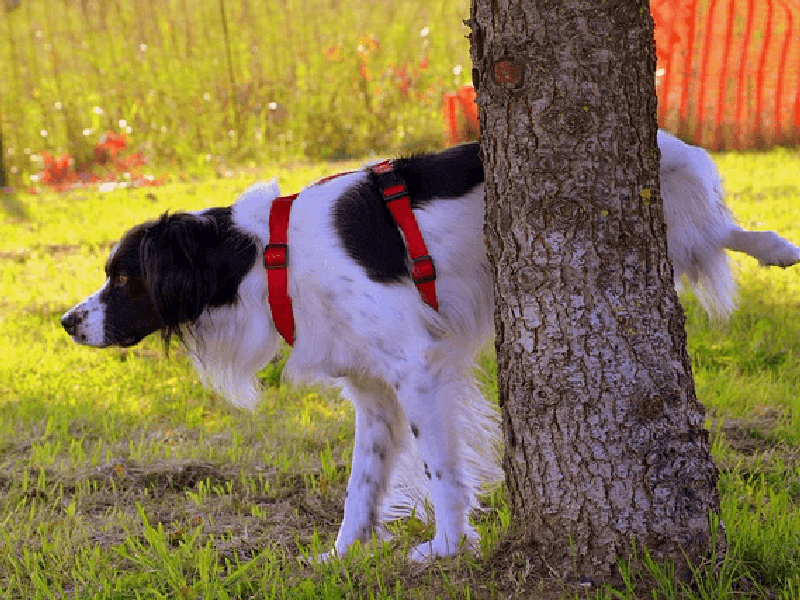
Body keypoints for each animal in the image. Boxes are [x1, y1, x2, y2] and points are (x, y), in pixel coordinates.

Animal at [62, 131, 800, 556]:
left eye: (123, 277)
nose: (67, 323)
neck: (269, 256)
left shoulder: (417, 369)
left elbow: (443, 470)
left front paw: (447, 546)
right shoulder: (372, 392)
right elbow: (362, 487)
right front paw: (343, 558)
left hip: (674, 204)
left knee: (721, 227)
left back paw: (778, 248)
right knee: (715, 232)